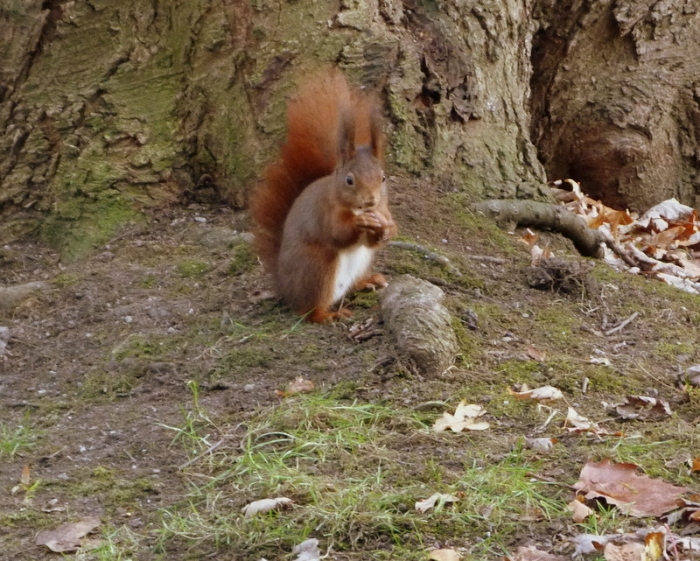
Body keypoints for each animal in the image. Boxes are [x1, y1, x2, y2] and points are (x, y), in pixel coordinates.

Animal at [249, 70, 397, 323]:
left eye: (383, 178)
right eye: (349, 180)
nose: (370, 201)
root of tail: (286, 289)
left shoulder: (384, 209)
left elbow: (380, 235)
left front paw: (384, 228)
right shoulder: (326, 213)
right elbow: (337, 233)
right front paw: (360, 222)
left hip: (359, 264)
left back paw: (368, 281)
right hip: (317, 267)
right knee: (308, 311)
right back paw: (329, 315)